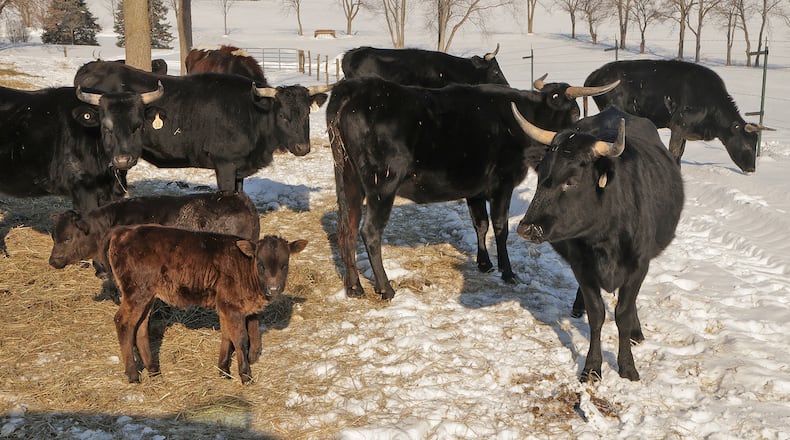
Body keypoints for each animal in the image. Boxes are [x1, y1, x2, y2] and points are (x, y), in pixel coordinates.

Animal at [108, 224, 307, 383]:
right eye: (260, 264)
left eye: (285, 264)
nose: (273, 288)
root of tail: (123, 232)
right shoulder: (231, 306)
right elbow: (240, 339)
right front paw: (245, 375)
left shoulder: (226, 306)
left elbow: (227, 336)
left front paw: (224, 370)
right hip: (137, 291)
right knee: (123, 322)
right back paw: (133, 375)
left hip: (147, 295)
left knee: (140, 328)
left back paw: (154, 371)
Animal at [326, 76, 620, 300]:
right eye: (575, 113)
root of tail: (354, 88)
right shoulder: (502, 183)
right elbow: (500, 227)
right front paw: (507, 271)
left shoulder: (475, 188)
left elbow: (480, 224)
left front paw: (484, 263)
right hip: (382, 184)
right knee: (369, 232)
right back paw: (385, 288)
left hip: (348, 178)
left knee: (346, 228)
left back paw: (354, 287)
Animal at [511, 104, 684, 383]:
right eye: (541, 176)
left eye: (571, 180)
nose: (527, 228)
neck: (604, 236)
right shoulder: (581, 266)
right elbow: (597, 315)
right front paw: (592, 367)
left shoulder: (639, 267)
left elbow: (623, 314)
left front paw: (627, 366)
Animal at [584, 59, 772, 173]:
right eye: (746, 144)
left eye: (755, 143)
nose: (752, 169)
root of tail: (598, 72)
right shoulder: (678, 126)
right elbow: (674, 153)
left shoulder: (685, 132)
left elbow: (680, 153)